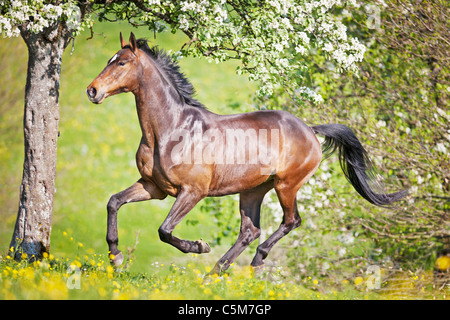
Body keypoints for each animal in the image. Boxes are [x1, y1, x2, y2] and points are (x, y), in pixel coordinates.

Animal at [86, 31, 406, 272]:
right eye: (110, 60)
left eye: (122, 63)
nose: (92, 91)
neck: (172, 130)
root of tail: (309, 129)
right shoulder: (154, 187)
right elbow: (114, 202)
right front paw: (116, 258)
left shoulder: (192, 192)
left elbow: (164, 230)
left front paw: (199, 246)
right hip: (252, 190)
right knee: (250, 230)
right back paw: (215, 273)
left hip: (286, 185)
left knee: (290, 222)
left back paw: (255, 262)